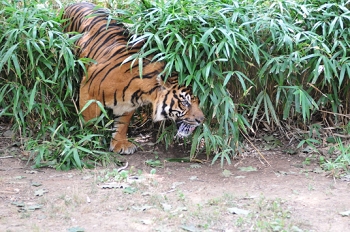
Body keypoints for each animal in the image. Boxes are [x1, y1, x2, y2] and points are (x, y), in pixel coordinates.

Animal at [63, 3, 205, 154]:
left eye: (197, 101)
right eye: (184, 102)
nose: (201, 120)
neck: (143, 92)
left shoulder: (127, 105)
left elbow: (122, 124)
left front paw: (119, 143)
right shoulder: (88, 92)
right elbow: (90, 120)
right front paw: (90, 140)